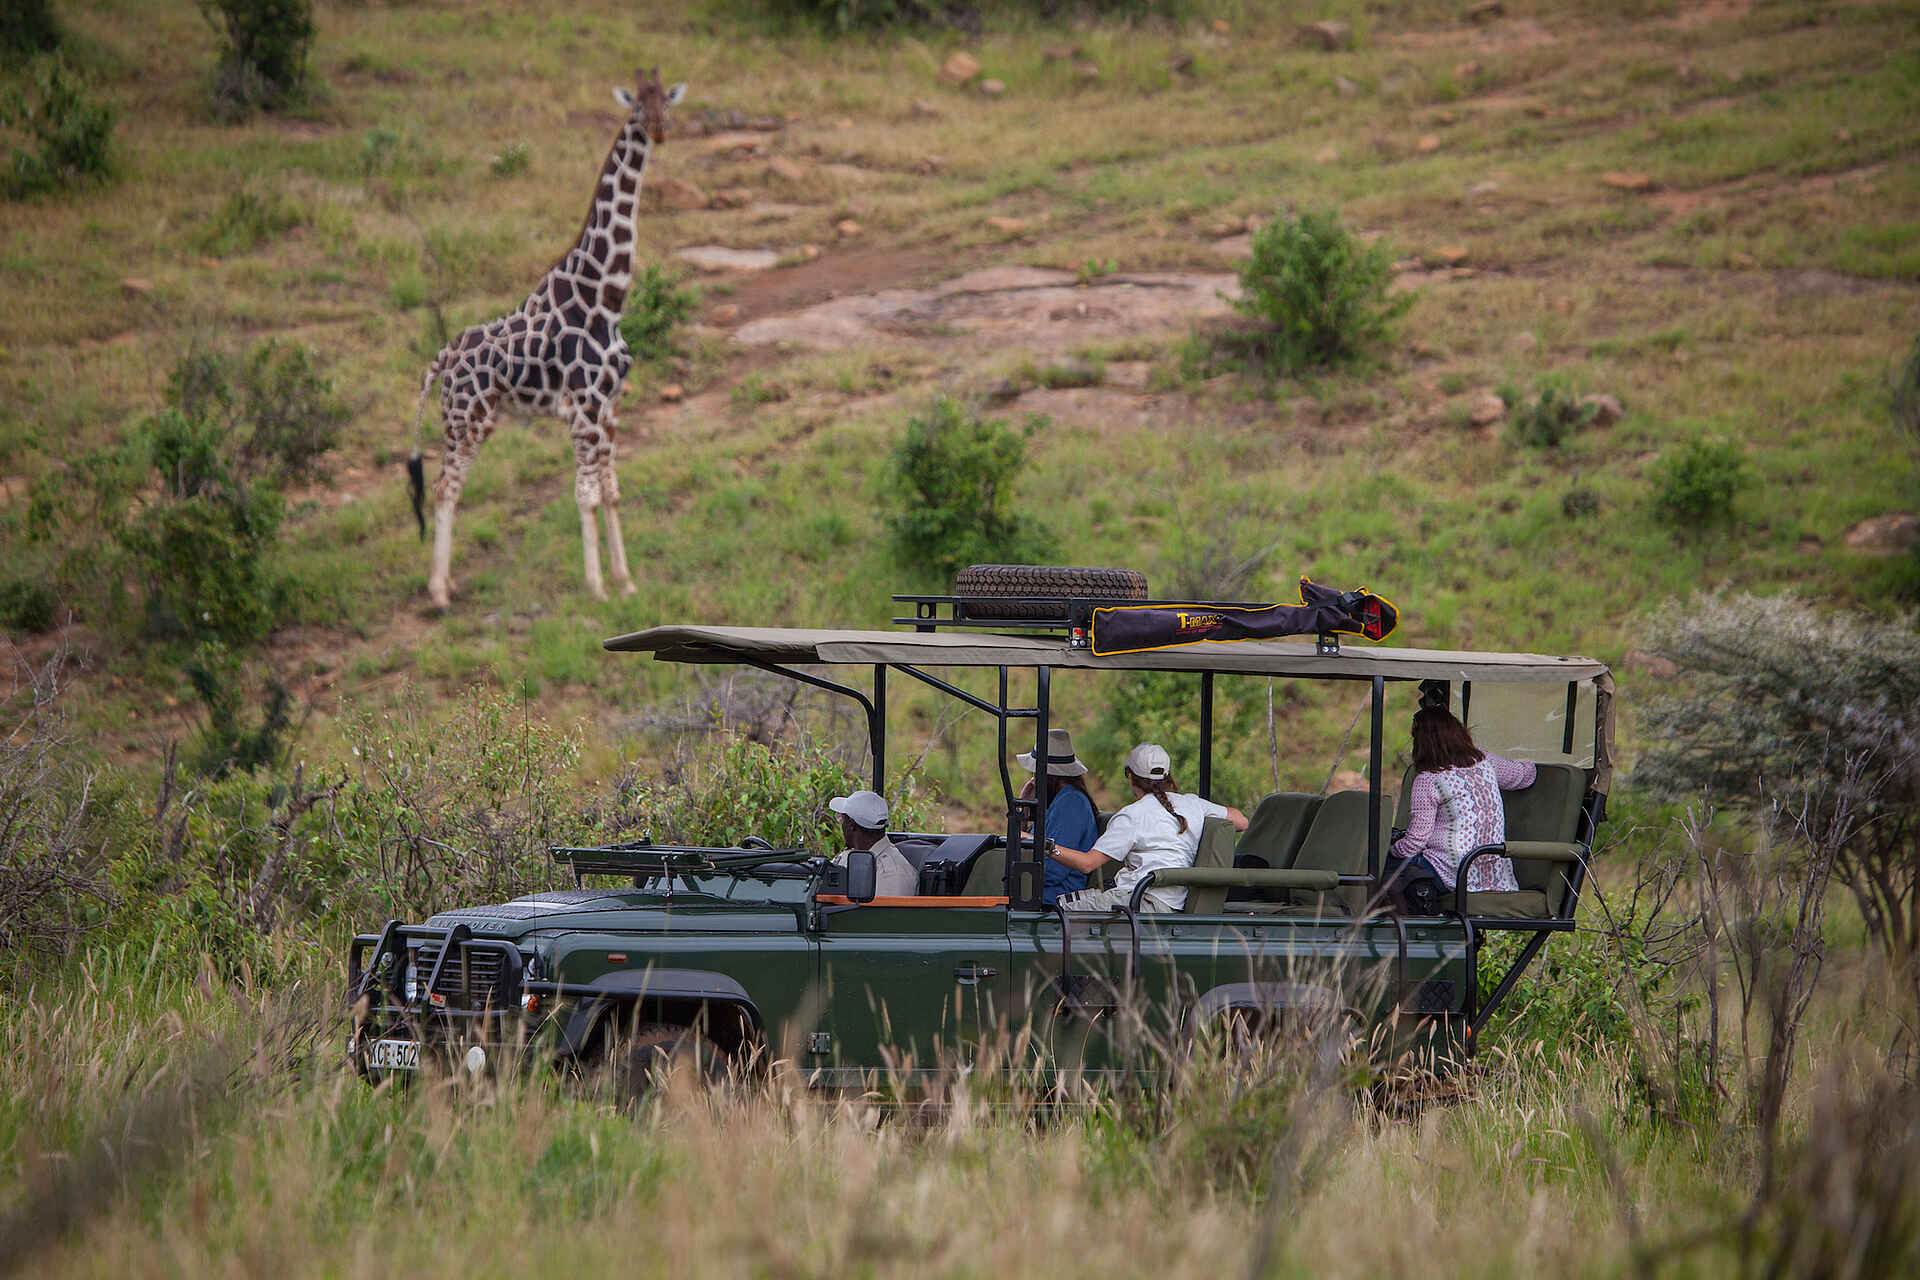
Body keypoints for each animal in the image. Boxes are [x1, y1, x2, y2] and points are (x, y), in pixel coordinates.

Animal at [406, 67, 686, 610]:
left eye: (667, 101)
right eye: (636, 107)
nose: (661, 131)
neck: (605, 296)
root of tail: (442, 357)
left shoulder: (609, 407)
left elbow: (611, 489)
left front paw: (626, 581)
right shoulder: (582, 410)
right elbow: (586, 494)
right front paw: (597, 588)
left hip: (470, 420)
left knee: (451, 485)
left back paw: (447, 583)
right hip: (468, 418)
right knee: (445, 487)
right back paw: (438, 593)